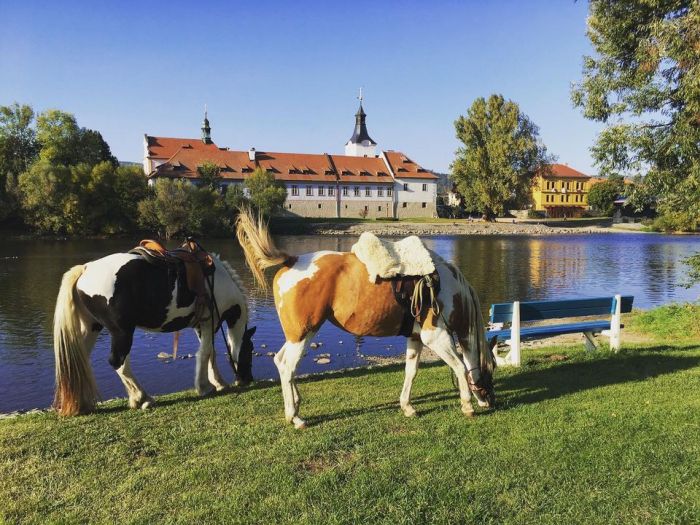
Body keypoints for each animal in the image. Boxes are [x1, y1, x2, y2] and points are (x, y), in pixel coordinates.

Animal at [52, 247, 254, 418]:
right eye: (250, 350)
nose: (247, 379)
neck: (218, 280)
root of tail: (85, 269)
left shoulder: (202, 326)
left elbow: (211, 353)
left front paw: (219, 383)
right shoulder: (208, 322)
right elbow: (205, 353)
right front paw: (205, 387)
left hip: (92, 328)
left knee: (79, 359)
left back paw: (84, 404)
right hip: (122, 332)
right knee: (118, 362)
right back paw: (142, 399)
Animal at [238, 209, 494, 430]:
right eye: (492, 367)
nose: (490, 401)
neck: (447, 287)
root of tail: (291, 260)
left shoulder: (415, 338)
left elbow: (411, 371)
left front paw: (407, 406)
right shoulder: (436, 337)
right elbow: (460, 366)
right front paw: (467, 405)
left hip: (297, 335)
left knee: (282, 363)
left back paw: (295, 407)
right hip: (303, 334)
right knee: (287, 367)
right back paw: (295, 416)